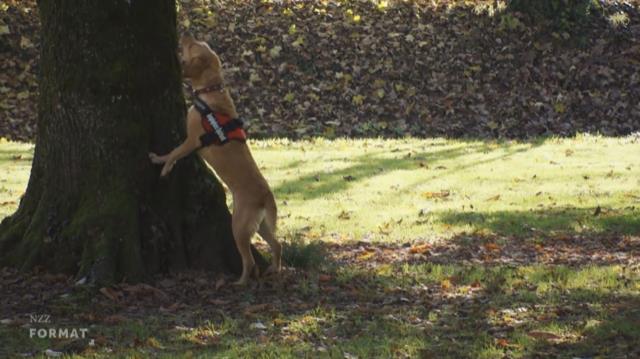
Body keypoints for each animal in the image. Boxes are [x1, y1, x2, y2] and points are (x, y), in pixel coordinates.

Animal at [151, 34, 282, 286]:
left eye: (193, 46)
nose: (185, 36)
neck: (211, 92)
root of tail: (265, 195)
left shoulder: (191, 141)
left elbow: (173, 153)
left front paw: (162, 165)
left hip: (238, 226)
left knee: (249, 261)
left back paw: (241, 282)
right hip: (261, 226)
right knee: (277, 245)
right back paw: (274, 270)